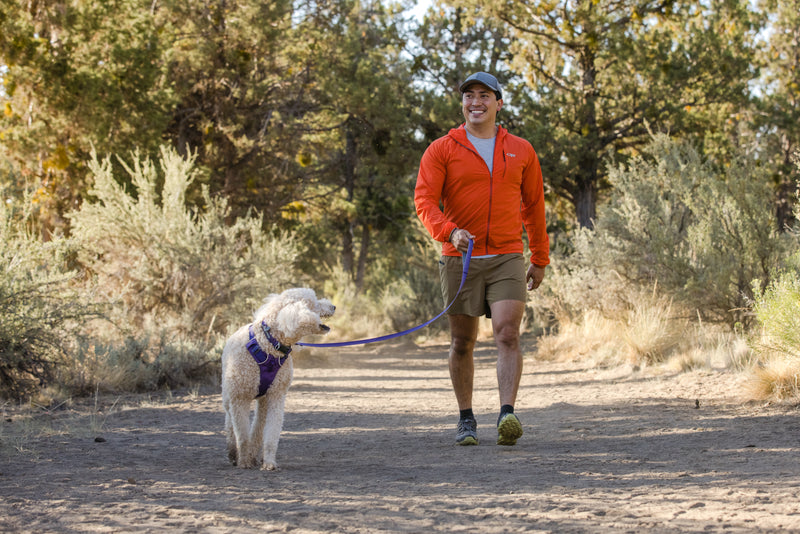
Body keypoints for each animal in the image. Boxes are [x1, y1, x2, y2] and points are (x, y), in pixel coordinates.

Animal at [220, 292, 332, 472]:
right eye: (314, 302)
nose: (333, 306)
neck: (268, 344)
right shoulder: (240, 398)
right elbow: (242, 435)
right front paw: (243, 461)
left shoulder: (276, 396)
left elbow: (271, 433)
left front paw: (269, 462)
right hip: (229, 395)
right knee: (230, 422)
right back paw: (233, 453)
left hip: (263, 400)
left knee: (258, 427)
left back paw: (254, 455)